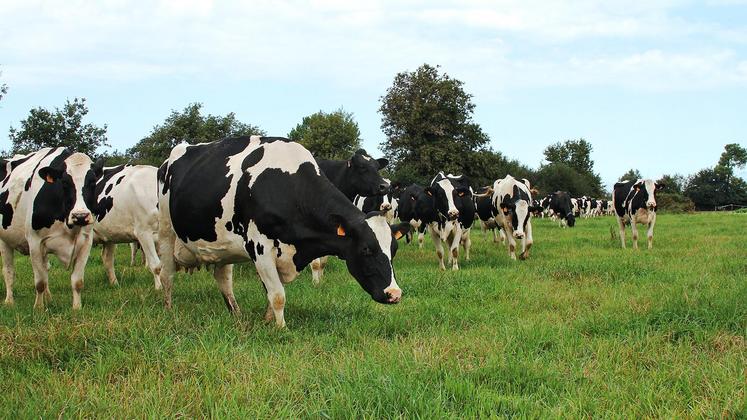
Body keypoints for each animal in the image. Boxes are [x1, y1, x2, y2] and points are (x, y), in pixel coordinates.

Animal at [1, 148, 104, 309]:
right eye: (65, 183)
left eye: (92, 182)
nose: (80, 216)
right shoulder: (35, 242)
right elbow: (40, 282)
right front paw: (39, 308)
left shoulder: (86, 241)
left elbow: (77, 281)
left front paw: (77, 308)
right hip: (4, 240)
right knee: (9, 271)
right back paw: (9, 301)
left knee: (45, 268)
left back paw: (48, 298)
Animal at [157, 136, 410, 328]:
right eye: (366, 249)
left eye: (394, 250)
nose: (394, 294)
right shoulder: (259, 247)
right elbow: (278, 295)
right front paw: (281, 329)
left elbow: (272, 292)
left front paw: (268, 320)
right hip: (166, 230)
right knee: (166, 274)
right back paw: (168, 310)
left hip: (222, 243)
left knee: (223, 279)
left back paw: (236, 314)